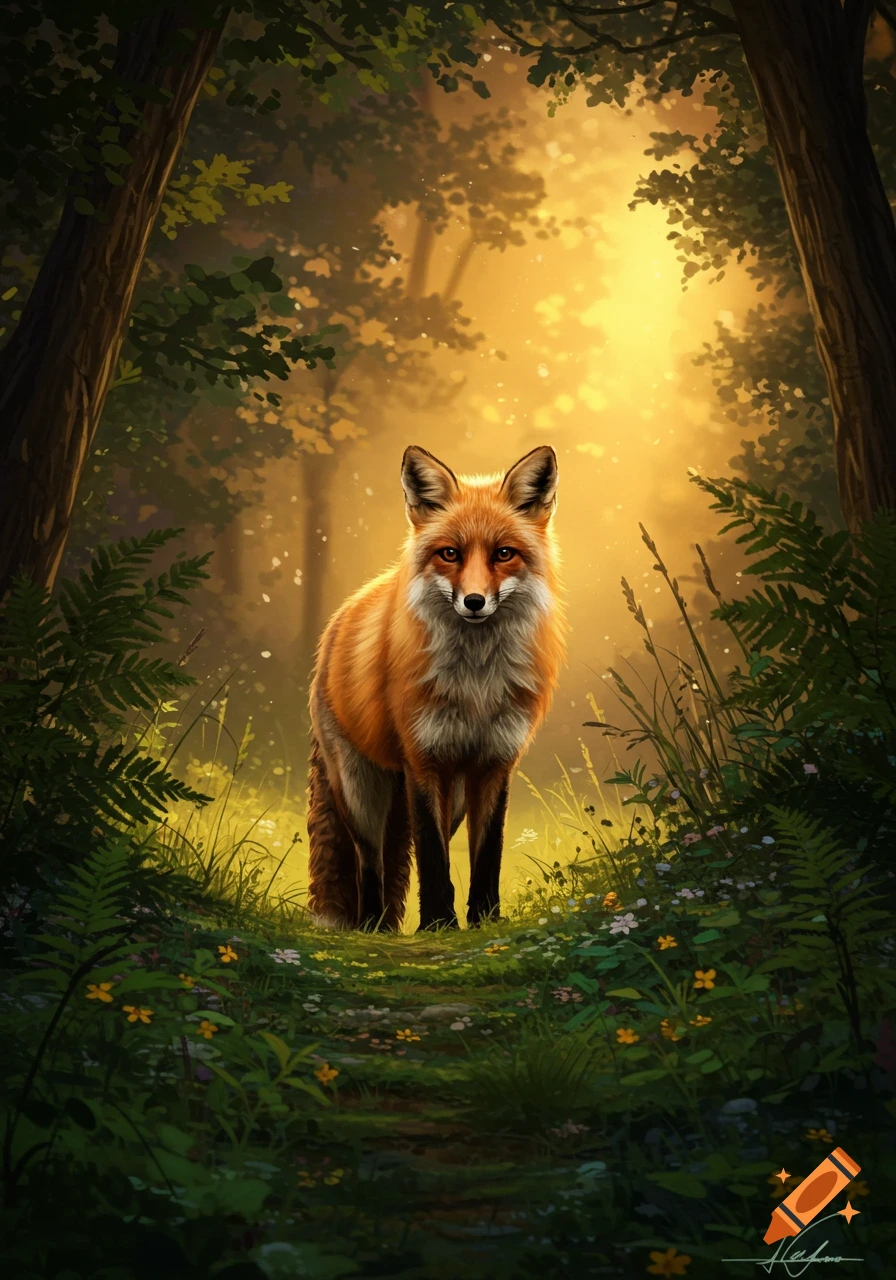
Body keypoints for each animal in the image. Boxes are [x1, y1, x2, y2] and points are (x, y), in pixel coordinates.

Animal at [306, 443, 566, 932]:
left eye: (504, 553)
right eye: (450, 553)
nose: (475, 602)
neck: (476, 687)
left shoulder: (494, 763)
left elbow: (486, 855)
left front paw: (484, 919)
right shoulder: (422, 760)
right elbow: (431, 857)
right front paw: (438, 924)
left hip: (453, 795)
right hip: (361, 790)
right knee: (370, 861)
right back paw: (375, 925)